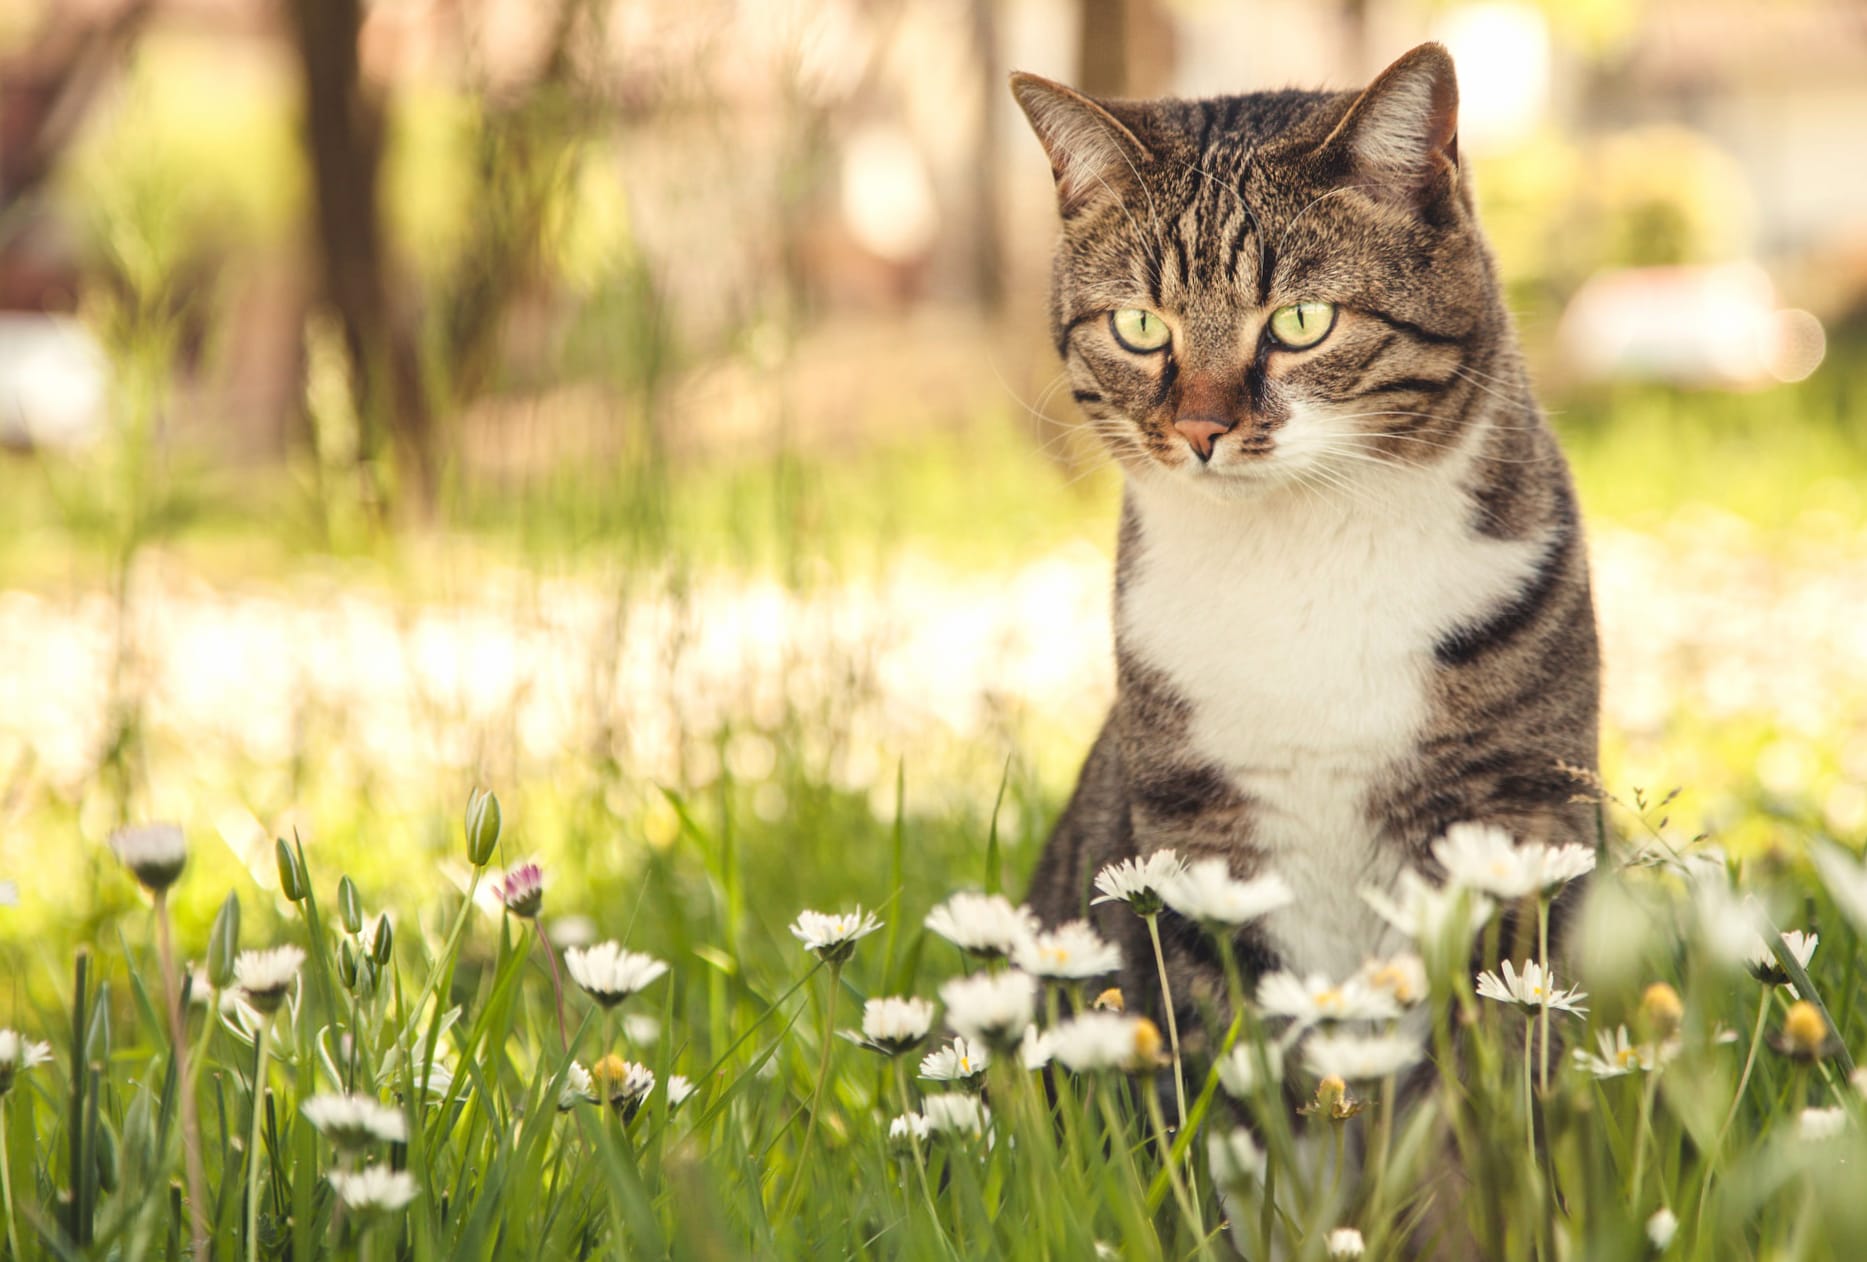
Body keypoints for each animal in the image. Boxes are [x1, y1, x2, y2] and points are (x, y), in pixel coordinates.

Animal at [1015, 36, 1598, 1232]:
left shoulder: (1512, 824)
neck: (1301, 563)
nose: (1199, 429)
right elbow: (1232, 1112)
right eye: (1139, 327)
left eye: (1299, 321)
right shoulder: (1198, 853)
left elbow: (1485, 1114)